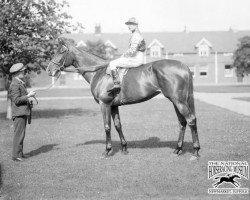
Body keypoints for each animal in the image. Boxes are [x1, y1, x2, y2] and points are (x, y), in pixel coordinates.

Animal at [46, 38, 200, 160]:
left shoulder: (104, 104)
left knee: (191, 120)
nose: (49, 70)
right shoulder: (114, 106)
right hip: (176, 101)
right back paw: (177, 149)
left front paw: (107, 151)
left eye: (61, 51)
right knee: (182, 123)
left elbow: (107, 126)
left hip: (178, 101)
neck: (99, 72)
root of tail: (184, 67)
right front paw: (124, 148)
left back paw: (196, 151)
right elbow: (118, 125)